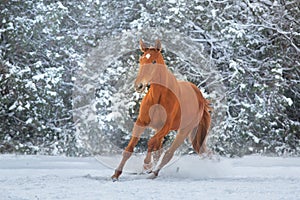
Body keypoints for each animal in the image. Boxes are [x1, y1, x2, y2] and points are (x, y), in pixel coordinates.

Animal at [110, 39, 211, 180]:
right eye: (141, 60)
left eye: (154, 61)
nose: (139, 85)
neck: (159, 97)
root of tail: (200, 97)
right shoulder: (141, 122)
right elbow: (129, 149)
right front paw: (116, 174)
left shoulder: (166, 126)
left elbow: (151, 143)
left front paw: (147, 165)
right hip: (160, 129)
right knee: (159, 150)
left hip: (184, 131)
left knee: (168, 153)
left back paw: (153, 173)